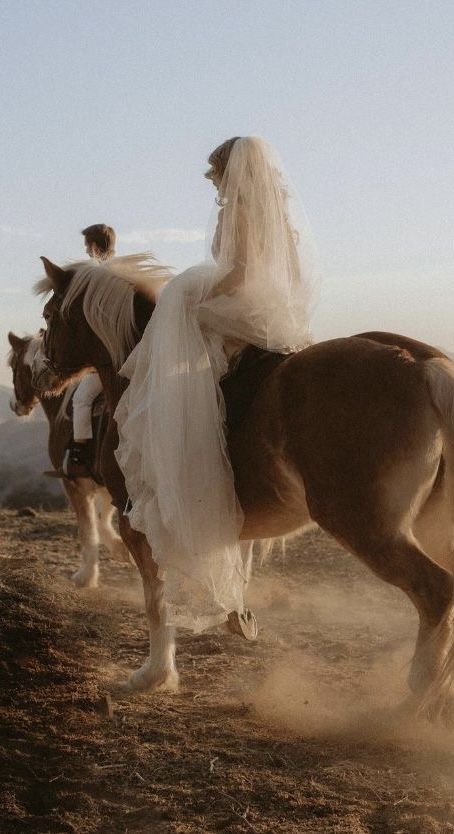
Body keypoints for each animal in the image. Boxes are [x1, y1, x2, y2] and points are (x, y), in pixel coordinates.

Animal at [7, 332, 127, 584]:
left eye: (13, 366)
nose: (15, 405)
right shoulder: (103, 484)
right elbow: (102, 519)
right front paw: (120, 549)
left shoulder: (73, 483)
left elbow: (88, 528)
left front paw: (86, 576)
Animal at [33, 256, 454, 720]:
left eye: (49, 316)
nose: (42, 376)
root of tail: (422, 365)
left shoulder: (139, 521)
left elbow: (157, 601)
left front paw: (155, 676)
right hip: (433, 526)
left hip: (365, 524)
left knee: (436, 591)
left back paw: (414, 699)